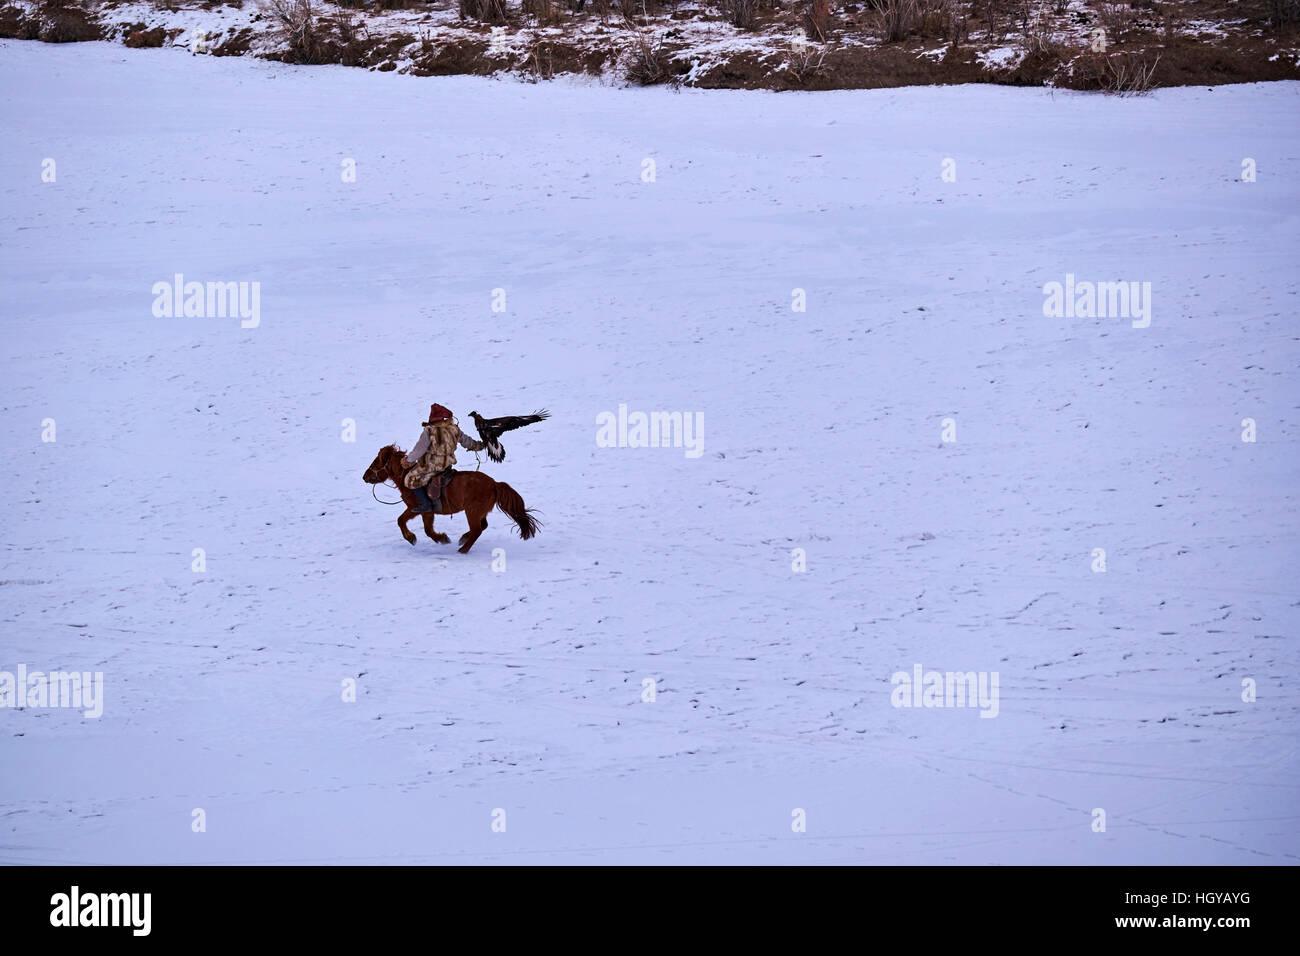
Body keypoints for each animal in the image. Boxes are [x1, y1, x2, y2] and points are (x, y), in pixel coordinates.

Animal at [361, 447, 538, 556]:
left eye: (376, 462)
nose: (365, 477)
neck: (408, 477)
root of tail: (495, 483)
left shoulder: (420, 509)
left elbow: (420, 528)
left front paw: (433, 538)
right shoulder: (420, 511)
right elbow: (404, 521)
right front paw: (415, 537)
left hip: (472, 512)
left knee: (477, 530)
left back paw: (463, 549)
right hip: (478, 512)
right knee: (482, 526)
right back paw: (463, 539)